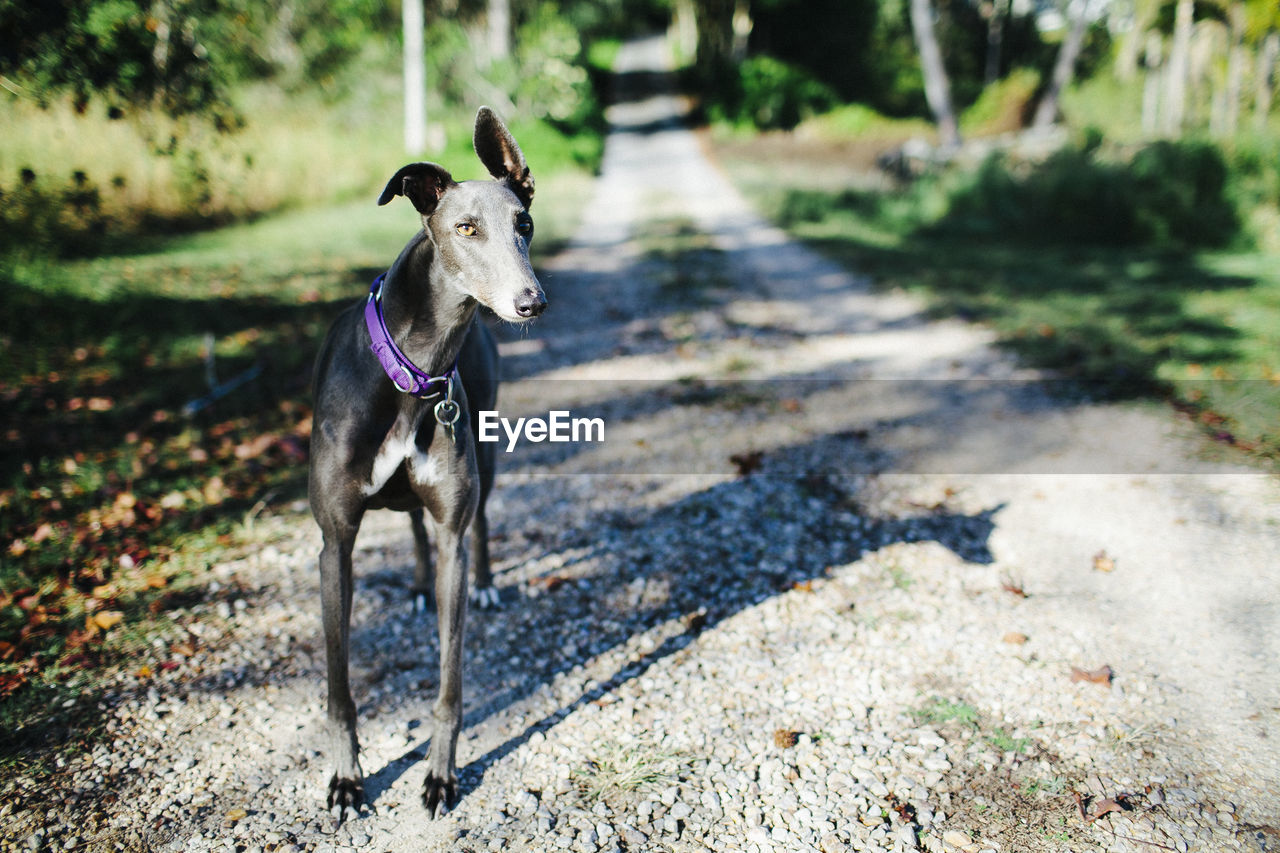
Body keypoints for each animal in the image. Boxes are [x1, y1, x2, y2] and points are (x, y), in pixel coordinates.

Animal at [307, 108, 542, 819]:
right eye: (466, 228)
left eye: (524, 224)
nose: (530, 302)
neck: (413, 373)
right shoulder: (334, 542)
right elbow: (339, 689)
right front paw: (347, 779)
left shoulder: (451, 537)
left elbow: (450, 684)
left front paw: (440, 775)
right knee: (407, 517)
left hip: (485, 451)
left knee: (479, 514)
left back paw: (488, 582)